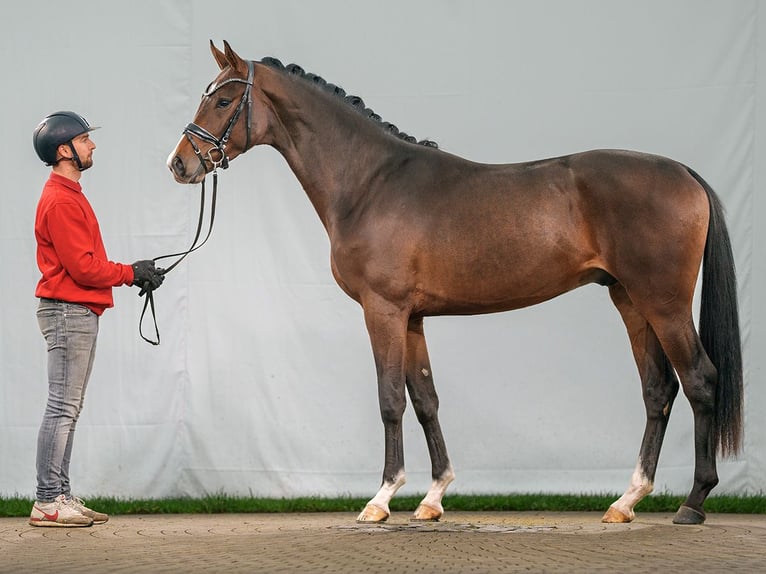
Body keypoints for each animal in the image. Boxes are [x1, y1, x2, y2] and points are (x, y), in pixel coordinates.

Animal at [168, 39, 744, 528]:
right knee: (658, 389)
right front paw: (433, 497)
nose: (179, 164)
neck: (370, 182)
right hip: (629, 300)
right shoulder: (413, 318)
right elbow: (425, 399)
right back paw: (626, 501)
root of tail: (684, 173)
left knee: (700, 380)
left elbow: (389, 399)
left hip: (663, 303)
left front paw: (381, 499)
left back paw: (693, 502)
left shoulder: (382, 310)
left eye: (223, 100)